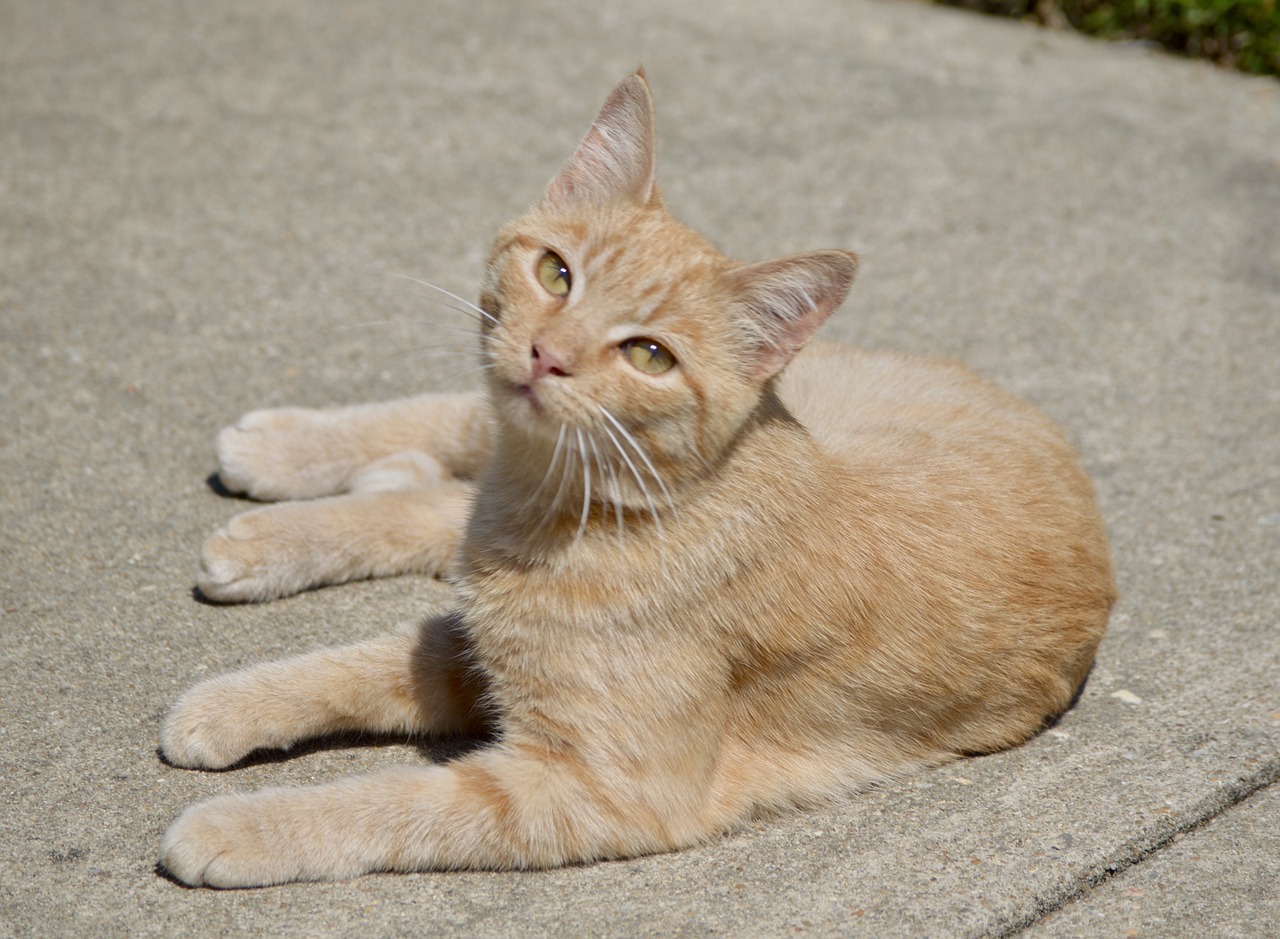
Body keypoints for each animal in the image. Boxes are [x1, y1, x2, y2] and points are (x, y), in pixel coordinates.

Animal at [157, 71, 1111, 890]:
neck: (564, 511)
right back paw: (283, 458)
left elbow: (388, 800)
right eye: (556, 272)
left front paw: (239, 824)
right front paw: (231, 701)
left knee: (437, 499)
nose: (549, 354)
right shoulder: (474, 648)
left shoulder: (588, 786)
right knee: (449, 446)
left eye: (649, 355)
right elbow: (353, 661)